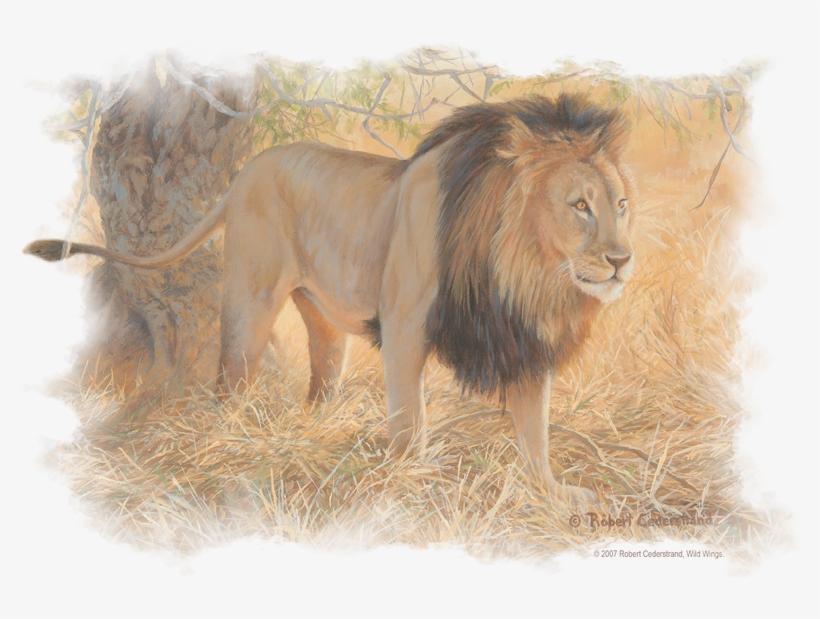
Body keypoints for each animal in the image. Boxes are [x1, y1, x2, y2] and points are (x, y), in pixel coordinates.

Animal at [25, 93, 635, 506]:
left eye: (621, 204)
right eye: (580, 205)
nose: (622, 259)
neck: (522, 273)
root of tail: (245, 171)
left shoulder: (524, 341)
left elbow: (535, 430)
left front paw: (554, 493)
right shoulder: (406, 324)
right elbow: (409, 417)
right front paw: (410, 480)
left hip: (321, 321)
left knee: (319, 384)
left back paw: (312, 433)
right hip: (250, 300)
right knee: (231, 379)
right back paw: (234, 440)